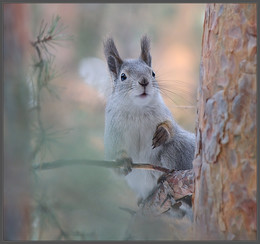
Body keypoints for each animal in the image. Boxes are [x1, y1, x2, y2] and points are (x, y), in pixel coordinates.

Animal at [102, 35, 194, 200]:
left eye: (153, 73)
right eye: (123, 76)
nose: (144, 81)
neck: (137, 109)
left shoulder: (164, 113)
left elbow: (173, 127)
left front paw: (164, 131)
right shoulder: (112, 131)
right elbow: (114, 151)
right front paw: (121, 160)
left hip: (178, 149)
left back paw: (164, 177)